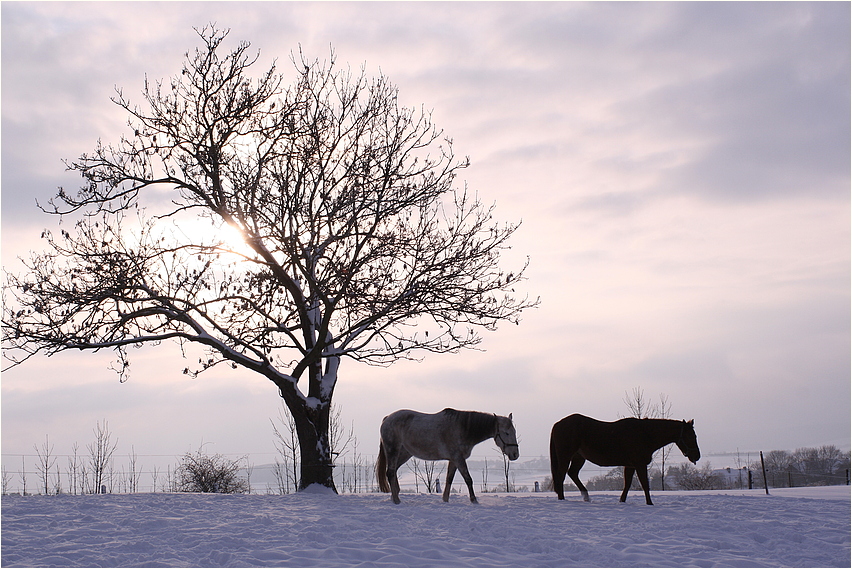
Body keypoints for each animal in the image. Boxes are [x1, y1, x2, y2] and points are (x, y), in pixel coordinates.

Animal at [378, 408, 520, 502]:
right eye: (506, 433)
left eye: (514, 431)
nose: (515, 454)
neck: (463, 429)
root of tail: (387, 419)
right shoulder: (459, 459)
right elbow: (468, 479)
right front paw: (474, 500)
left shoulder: (454, 460)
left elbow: (449, 479)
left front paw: (445, 499)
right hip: (393, 451)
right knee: (390, 472)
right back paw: (396, 500)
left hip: (404, 453)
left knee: (393, 471)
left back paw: (395, 495)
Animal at [548, 414, 704, 504]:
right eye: (690, 436)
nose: (697, 456)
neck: (645, 433)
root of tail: (557, 424)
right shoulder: (640, 464)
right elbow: (645, 485)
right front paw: (650, 503)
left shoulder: (630, 465)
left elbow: (627, 484)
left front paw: (622, 501)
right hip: (566, 456)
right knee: (561, 475)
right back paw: (562, 499)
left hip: (579, 457)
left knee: (572, 473)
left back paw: (585, 496)